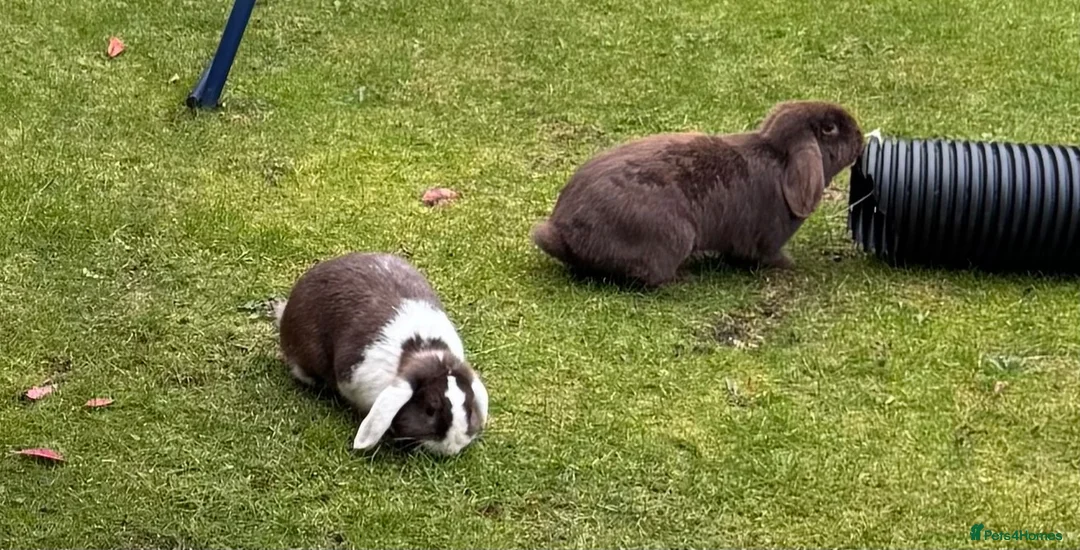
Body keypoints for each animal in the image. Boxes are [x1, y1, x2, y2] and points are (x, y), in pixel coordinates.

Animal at [530, 100, 865, 287]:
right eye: (830, 128)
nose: (860, 137)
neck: (779, 161)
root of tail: (563, 234)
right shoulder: (767, 239)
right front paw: (790, 264)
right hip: (676, 236)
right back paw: (683, 279)